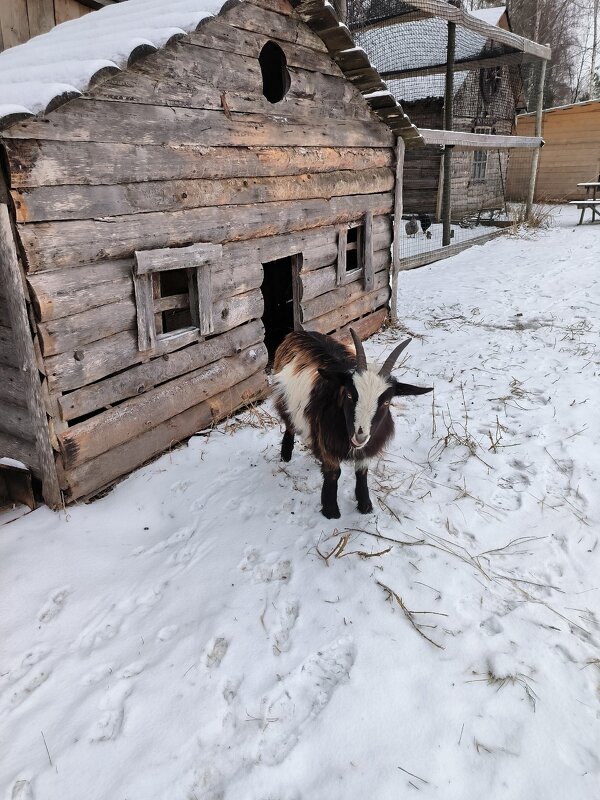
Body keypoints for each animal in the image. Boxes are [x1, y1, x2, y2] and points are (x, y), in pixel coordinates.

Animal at [272, 326, 432, 520]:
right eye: (349, 395)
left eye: (386, 402)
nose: (360, 435)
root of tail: (300, 331)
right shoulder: (327, 440)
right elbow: (334, 473)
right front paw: (331, 510)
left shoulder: (367, 447)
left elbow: (361, 472)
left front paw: (365, 505)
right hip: (285, 400)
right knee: (289, 424)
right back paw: (285, 455)